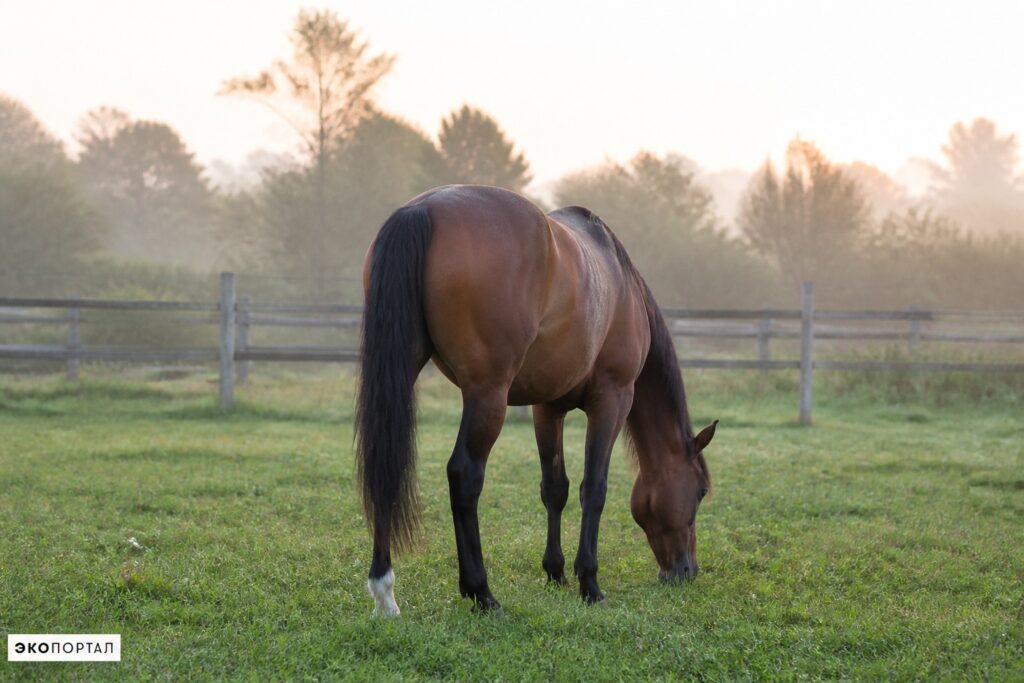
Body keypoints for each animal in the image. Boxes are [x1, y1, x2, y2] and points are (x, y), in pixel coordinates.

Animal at [356, 185, 716, 616]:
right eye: (700, 491)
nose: (686, 571)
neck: (622, 286)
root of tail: (421, 210)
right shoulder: (612, 399)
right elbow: (594, 488)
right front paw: (589, 582)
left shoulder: (547, 408)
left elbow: (555, 488)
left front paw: (556, 572)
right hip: (487, 395)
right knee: (465, 474)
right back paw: (481, 592)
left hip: (403, 369)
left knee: (385, 468)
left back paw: (384, 592)